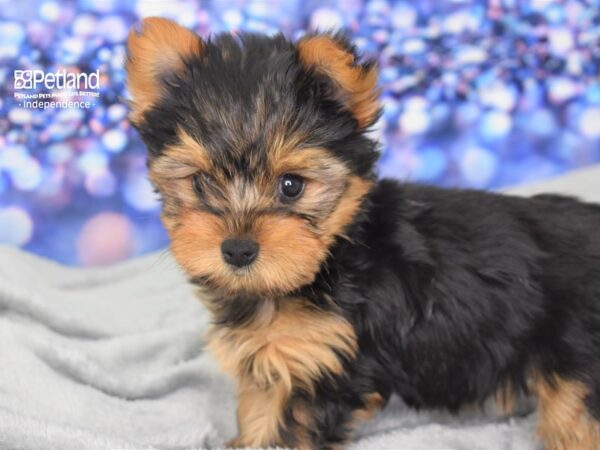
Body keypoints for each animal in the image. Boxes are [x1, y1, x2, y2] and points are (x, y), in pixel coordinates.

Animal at [126, 18, 600, 450]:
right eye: (201, 182)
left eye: (291, 185)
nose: (238, 250)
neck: (332, 258)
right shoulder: (279, 359)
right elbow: (261, 411)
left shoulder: (326, 363)